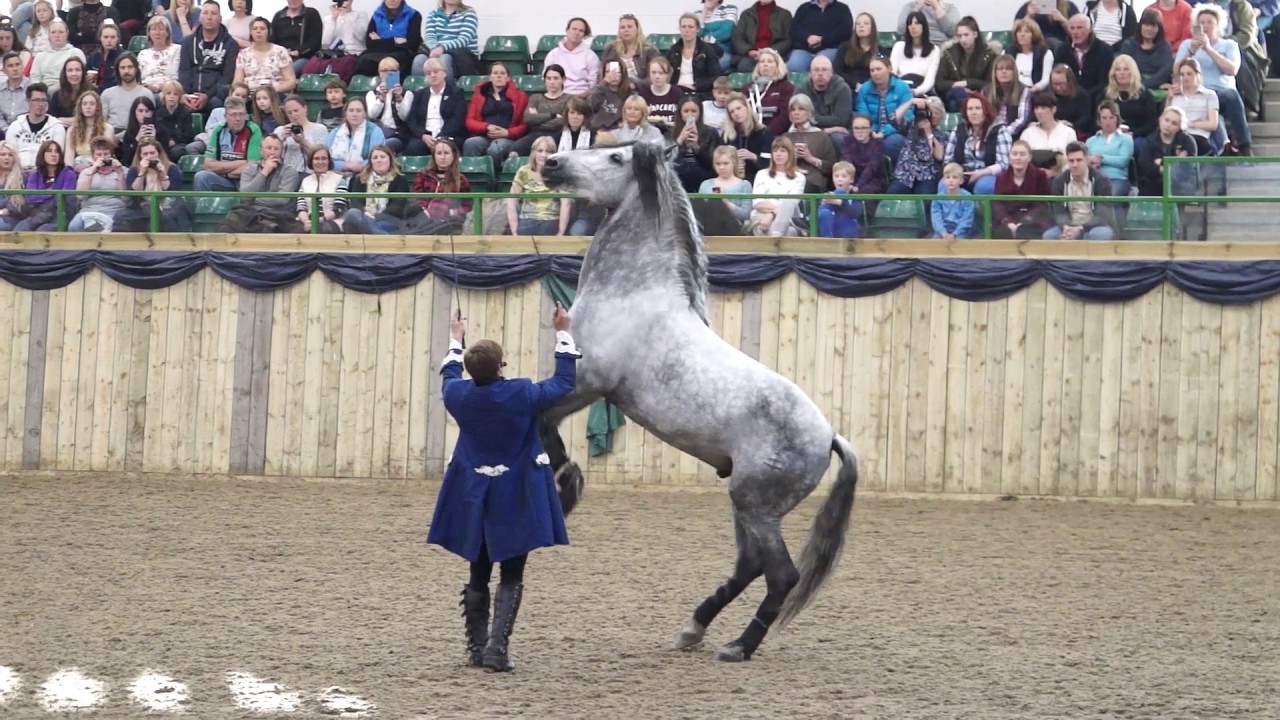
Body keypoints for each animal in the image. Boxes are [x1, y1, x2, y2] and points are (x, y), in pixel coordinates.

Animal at [538, 140, 860, 663]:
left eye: (616, 157)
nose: (549, 163)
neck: (633, 291)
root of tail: (829, 436)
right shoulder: (585, 386)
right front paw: (566, 484)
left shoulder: (588, 382)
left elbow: (540, 421)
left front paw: (567, 486)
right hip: (746, 504)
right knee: (750, 566)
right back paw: (694, 628)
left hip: (755, 504)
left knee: (781, 576)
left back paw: (738, 646)